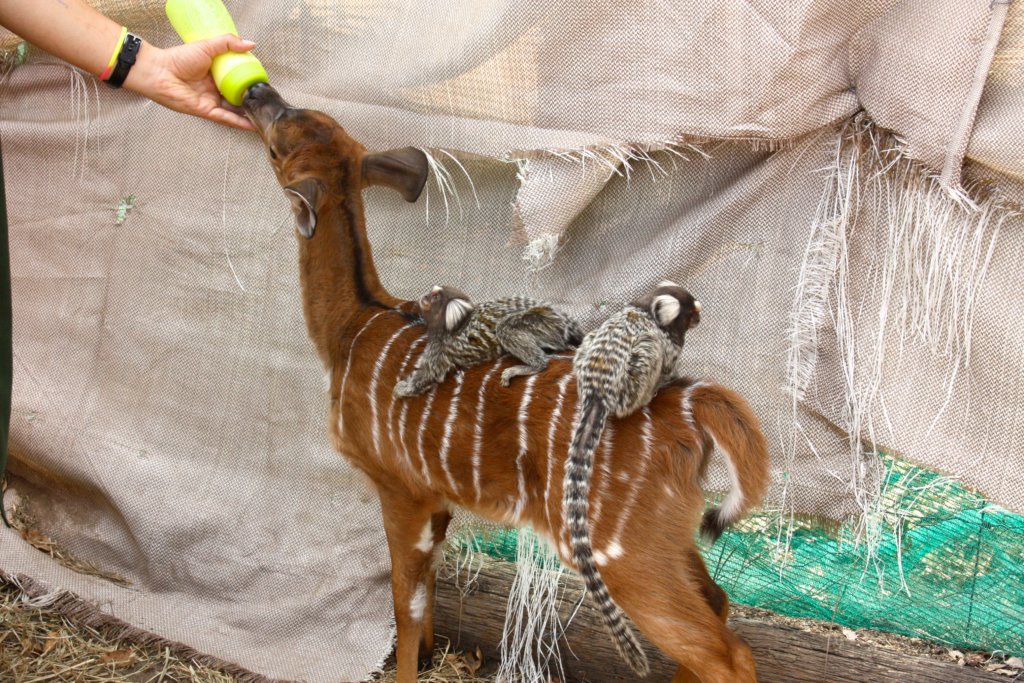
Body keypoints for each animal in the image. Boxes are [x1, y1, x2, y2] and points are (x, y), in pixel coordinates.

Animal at [242, 82, 768, 683]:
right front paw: (432, 655)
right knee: (719, 602)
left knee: (725, 651)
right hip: (671, 536)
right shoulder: (437, 497)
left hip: (621, 548)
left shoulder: (400, 486)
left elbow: (405, 601)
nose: (257, 90)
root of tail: (695, 404)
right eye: (307, 121)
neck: (353, 328)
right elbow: (428, 588)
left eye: (278, 144)